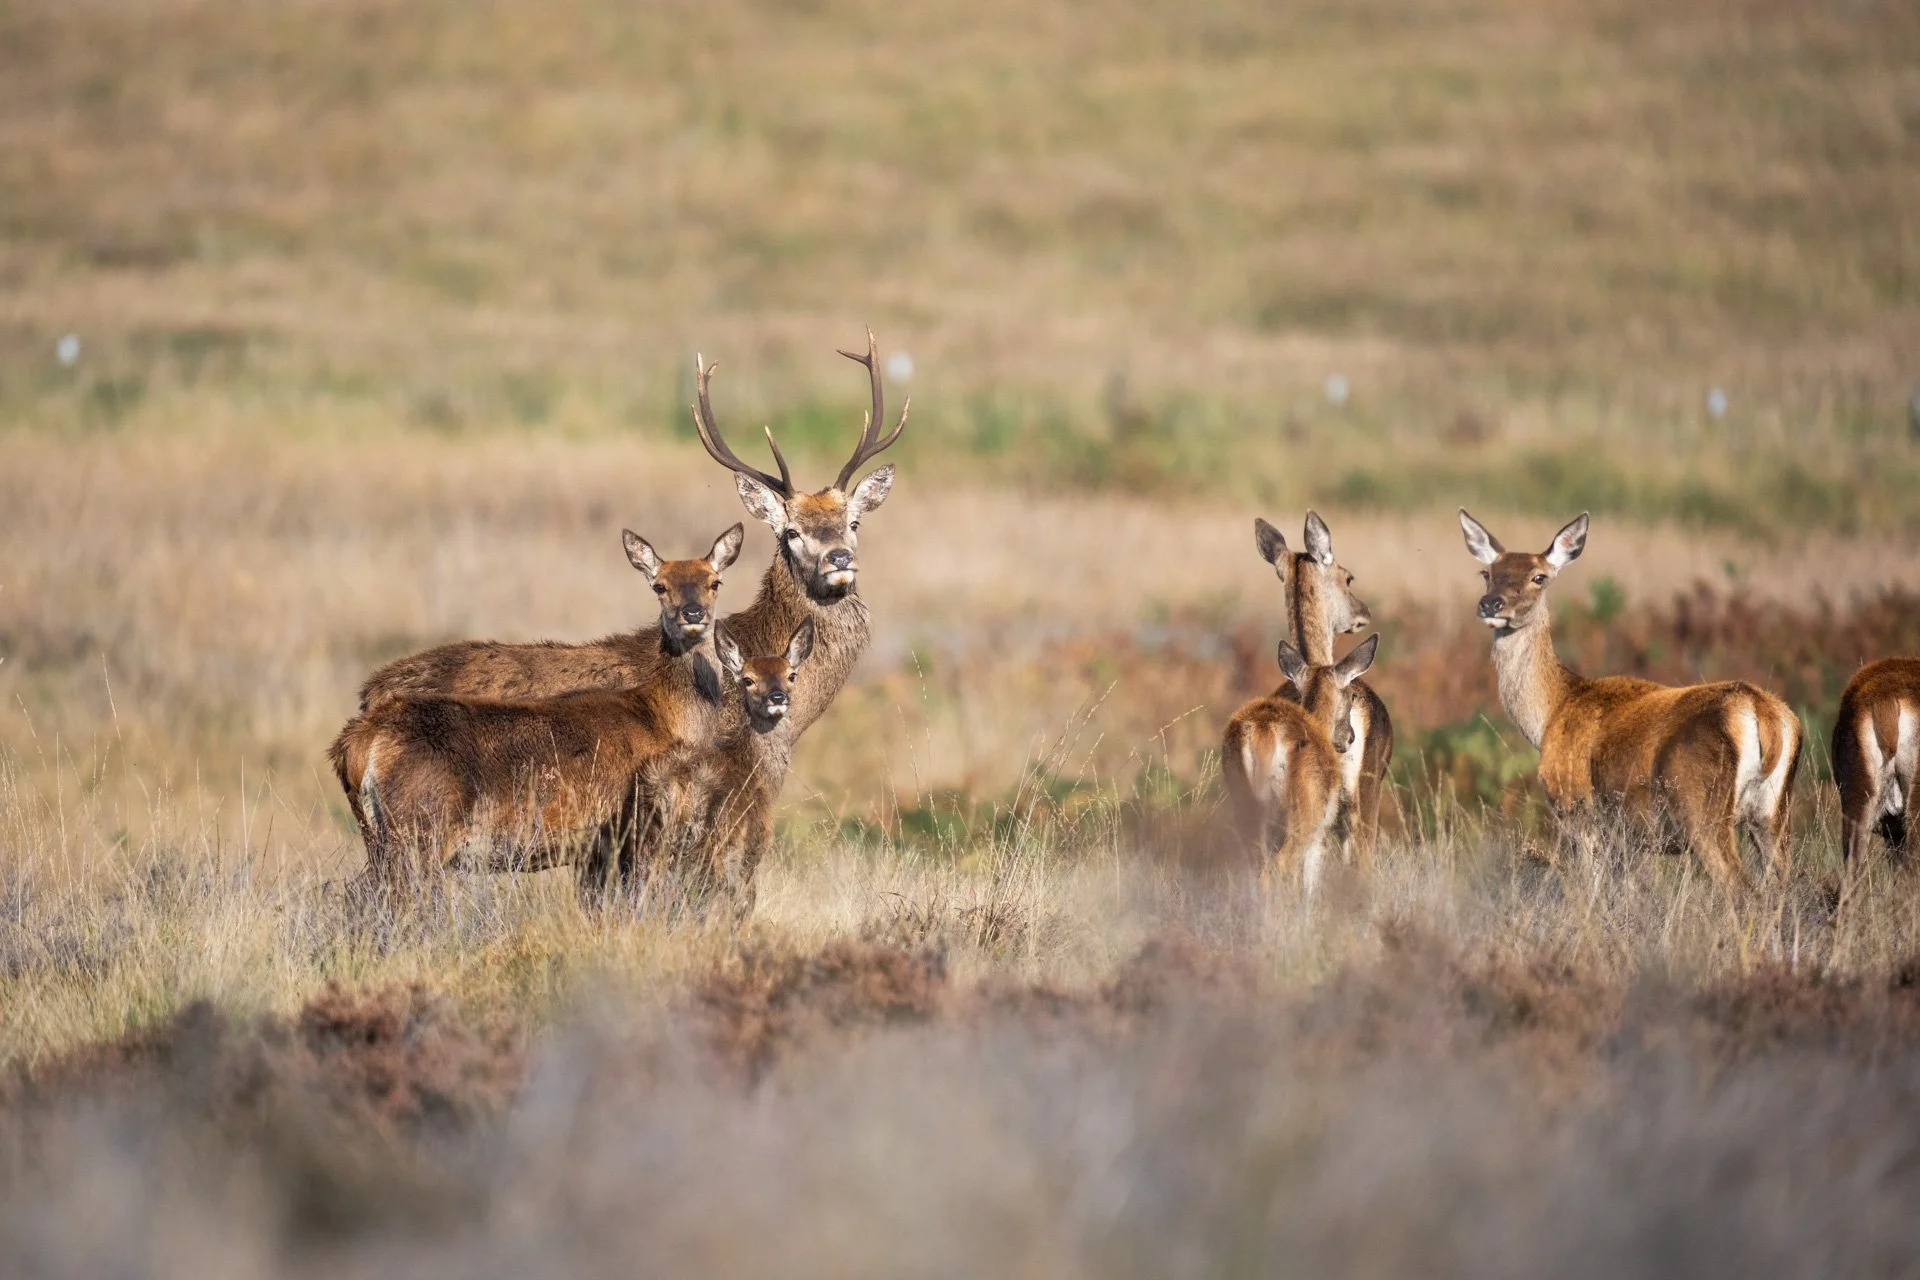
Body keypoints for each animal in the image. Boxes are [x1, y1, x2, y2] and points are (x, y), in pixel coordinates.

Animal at [328, 527, 742, 891]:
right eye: (659, 585)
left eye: (714, 582)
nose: (692, 614)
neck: (664, 716)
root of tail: (358, 741)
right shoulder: (636, 826)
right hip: (418, 832)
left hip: (379, 837)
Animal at [1222, 634, 1380, 895]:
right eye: (1351, 695)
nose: (1350, 737)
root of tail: (1263, 731)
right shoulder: (1321, 825)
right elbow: (1309, 882)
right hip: (1305, 810)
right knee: (1281, 863)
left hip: (1243, 802)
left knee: (1256, 865)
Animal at [1457, 510, 1801, 890]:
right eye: (1487, 573)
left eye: (1539, 576)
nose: (1491, 604)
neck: (1551, 712)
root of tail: (1764, 713)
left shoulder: (1577, 807)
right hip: (1773, 812)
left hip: (1701, 808)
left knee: (1739, 887)